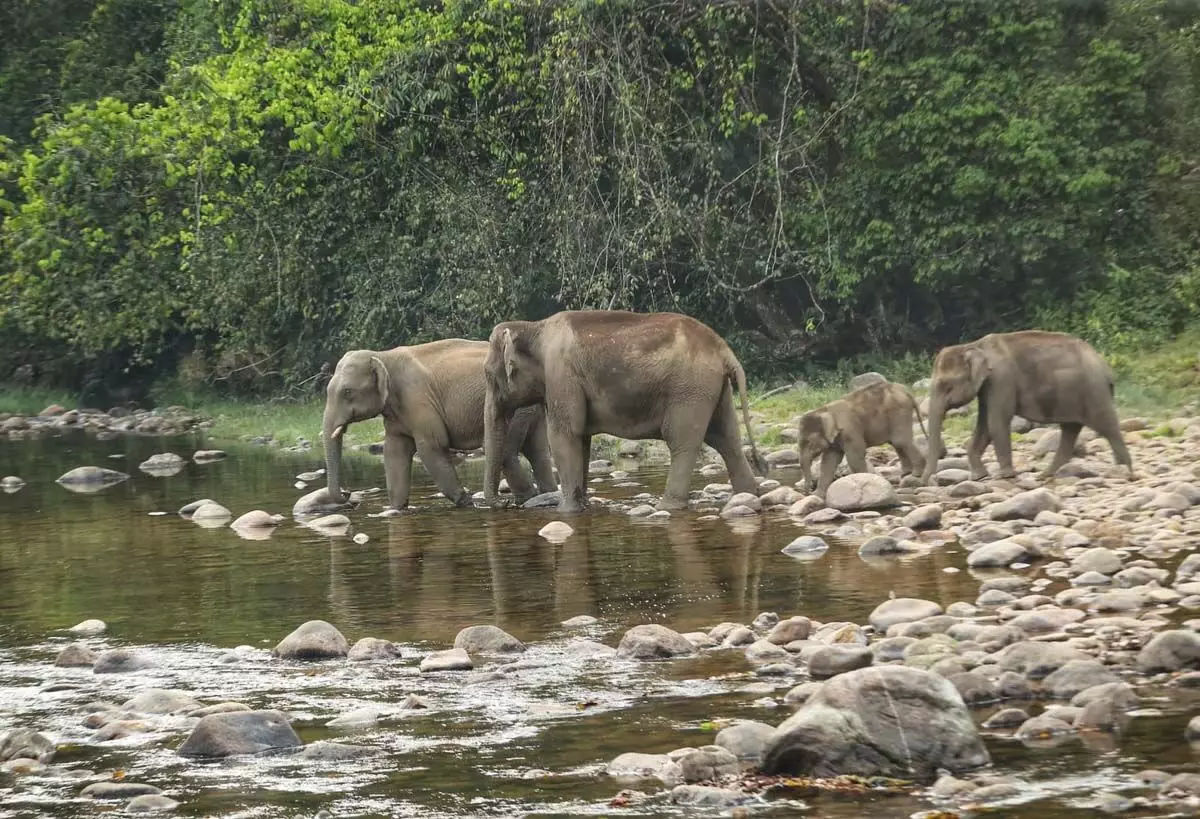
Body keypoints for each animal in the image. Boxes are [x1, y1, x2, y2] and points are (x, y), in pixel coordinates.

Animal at [324, 333, 556, 506]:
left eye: (347, 392)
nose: (348, 494)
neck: (382, 356)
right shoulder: (397, 414)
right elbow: (394, 452)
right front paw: (397, 508)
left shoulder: (418, 399)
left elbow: (431, 447)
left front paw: (466, 502)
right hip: (529, 410)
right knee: (537, 450)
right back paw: (543, 494)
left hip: (515, 408)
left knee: (508, 452)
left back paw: (523, 499)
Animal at [480, 309, 768, 509]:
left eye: (487, 375)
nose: (505, 504)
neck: (534, 327)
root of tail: (724, 349)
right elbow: (581, 440)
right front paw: (583, 505)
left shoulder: (560, 374)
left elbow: (564, 436)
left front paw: (566, 510)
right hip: (714, 389)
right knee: (726, 438)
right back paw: (747, 494)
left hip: (689, 389)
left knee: (683, 442)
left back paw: (667, 505)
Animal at [796, 379, 926, 494]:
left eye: (809, 442)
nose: (809, 490)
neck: (824, 409)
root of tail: (906, 391)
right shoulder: (834, 439)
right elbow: (829, 461)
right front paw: (817, 495)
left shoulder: (850, 430)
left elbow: (855, 457)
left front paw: (865, 479)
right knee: (896, 443)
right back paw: (905, 474)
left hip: (899, 412)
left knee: (900, 441)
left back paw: (916, 474)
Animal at [916, 329, 1132, 482]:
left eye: (946, 386)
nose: (923, 482)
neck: (974, 345)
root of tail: (1105, 367)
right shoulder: (988, 387)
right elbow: (984, 424)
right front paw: (980, 476)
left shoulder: (1001, 379)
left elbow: (997, 421)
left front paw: (1006, 475)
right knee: (1070, 430)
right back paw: (1044, 476)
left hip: (1094, 391)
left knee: (1107, 427)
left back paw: (1125, 471)